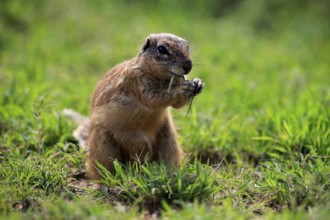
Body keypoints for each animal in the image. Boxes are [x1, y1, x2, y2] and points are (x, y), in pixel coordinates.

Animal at [86, 33, 202, 180]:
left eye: (188, 46)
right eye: (162, 49)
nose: (188, 66)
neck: (162, 79)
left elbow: (177, 104)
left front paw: (198, 83)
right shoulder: (135, 80)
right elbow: (154, 98)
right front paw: (181, 89)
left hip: (168, 140)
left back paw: (170, 173)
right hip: (104, 148)